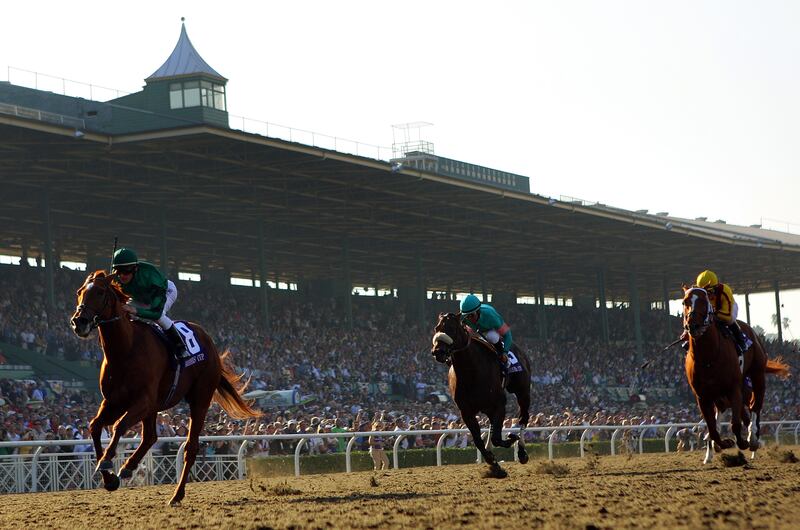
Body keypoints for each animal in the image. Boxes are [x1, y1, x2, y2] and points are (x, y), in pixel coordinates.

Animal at [70, 270, 260, 502]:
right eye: (79, 291)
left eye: (99, 291)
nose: (79, 321)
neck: (126, 349)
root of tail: (209, 342)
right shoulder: (113, 402)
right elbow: (95, 426)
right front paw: (109, 477)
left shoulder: (142, 400)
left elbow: (119, 426)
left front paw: (107, 461)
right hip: (154, 407)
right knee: (151, 437)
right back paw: (128, 467)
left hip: (199, 399)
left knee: (190, 448)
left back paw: (177, 495)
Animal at [432, 310, 532, 474]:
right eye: (436, 328)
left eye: (452, 328)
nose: (437, 351)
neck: (471, 372)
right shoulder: (466, 411)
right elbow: (478, 439)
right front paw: (493, 463)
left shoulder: (499, 405)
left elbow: (497, 438)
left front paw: (511, 438)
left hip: (522, 392)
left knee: (523, 418)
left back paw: (522, 452)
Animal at [684, 284, 792, 462]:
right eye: (685, 301)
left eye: (704, 301)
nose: (693, 325)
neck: (709, 357)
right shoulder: (703, 397)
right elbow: (712, 429)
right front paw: (721, 444)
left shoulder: (733, 389)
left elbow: (735, 424)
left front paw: (742, 442)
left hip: (757, 374)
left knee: (756, 406)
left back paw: (753, 439)